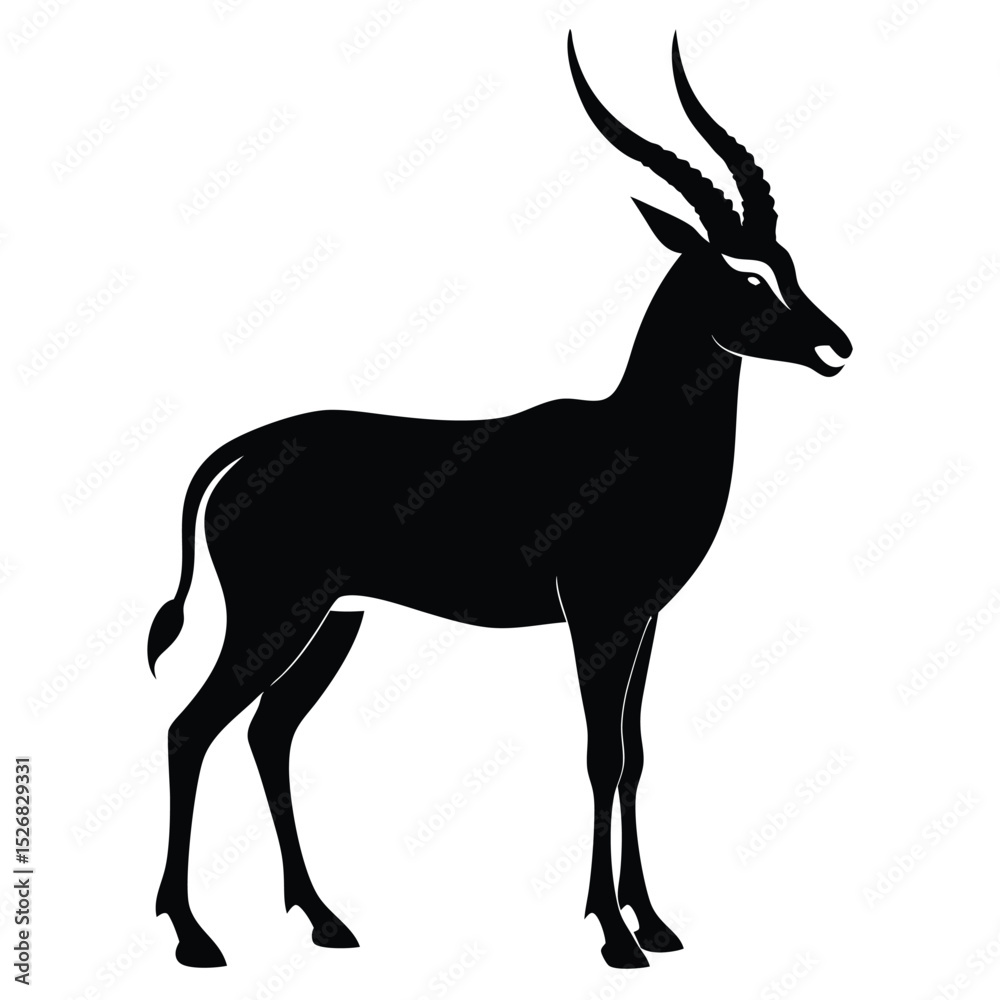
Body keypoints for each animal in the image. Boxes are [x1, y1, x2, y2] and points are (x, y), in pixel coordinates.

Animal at [148, 31, 853, 970]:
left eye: (788, 263)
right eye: (742, 277)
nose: (835, 345)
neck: (638, 439)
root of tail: (243, 451)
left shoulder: (647, 619)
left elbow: (635, 753)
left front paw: (655, 923)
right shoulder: (598, 616)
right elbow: (599, 757)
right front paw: (614, 935)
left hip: (335, 621)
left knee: (269, 734)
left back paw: (326, 921)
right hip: (274, 617)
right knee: (191, 729)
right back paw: (194, 937)